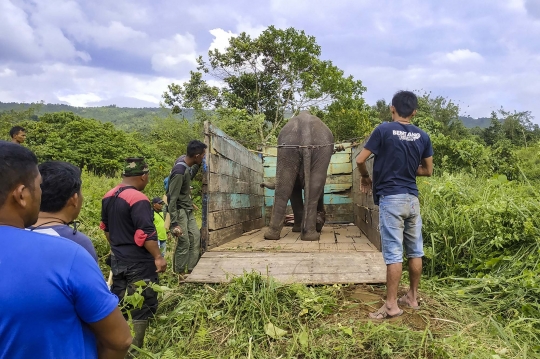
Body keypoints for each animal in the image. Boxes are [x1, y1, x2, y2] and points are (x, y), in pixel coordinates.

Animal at [262, 112, 334, 242]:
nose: (261, 184)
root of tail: (304, 126)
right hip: (316, 148)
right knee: (313, 186)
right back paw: (310, 236)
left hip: (288, 147)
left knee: (285, 187)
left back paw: (271, 236)